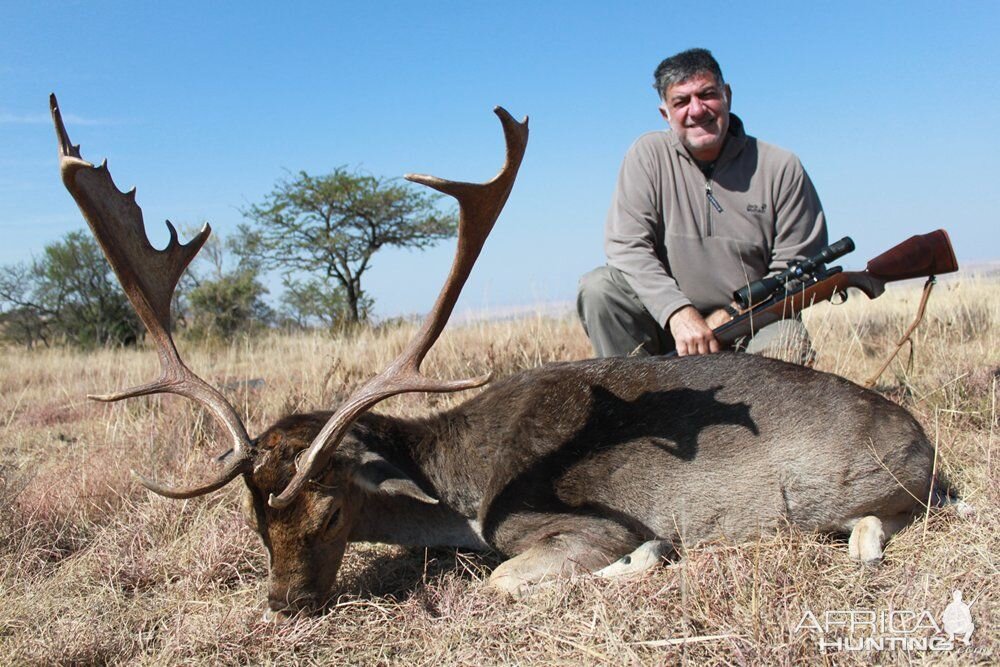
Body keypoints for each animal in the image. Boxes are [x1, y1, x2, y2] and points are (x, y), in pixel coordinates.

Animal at [50, 94, 940, 616]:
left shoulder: (565, 523)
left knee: (880, 524)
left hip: (839, 491)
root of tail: (925, 442)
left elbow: (517, 577)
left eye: (331, 511)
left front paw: (648, 552)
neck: (463, 491)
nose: (285, 603)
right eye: (253, 518)